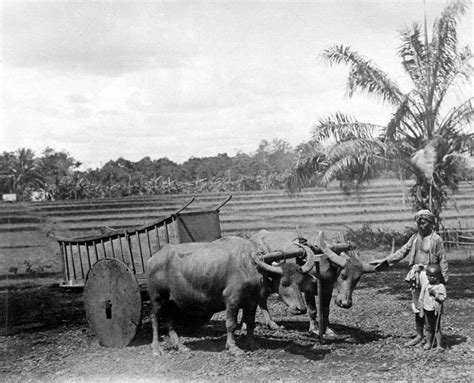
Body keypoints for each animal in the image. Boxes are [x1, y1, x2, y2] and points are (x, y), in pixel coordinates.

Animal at [146, 237, 312, 356]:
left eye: (300, 281)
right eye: (284, 282)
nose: (301, 309)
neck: (251, 267)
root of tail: (152, 259)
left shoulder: (251, 302)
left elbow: (250, 323)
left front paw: (252, 343)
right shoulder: (232, 300)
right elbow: (231, 324)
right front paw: (233, 347)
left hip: (171, 302)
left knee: (169, 321)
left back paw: (180, 346)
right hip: (157, 298)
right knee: (155, 319)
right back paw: (156, 348)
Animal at [248, 231, 378, 336]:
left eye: (357, 278)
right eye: (343, 275)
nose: (345, 303)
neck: (323, 261)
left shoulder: (327, 288)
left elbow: (325, 309)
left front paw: (327, 329)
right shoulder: (308, 289)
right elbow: (313, 310)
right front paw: (314, 329)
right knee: (261, 300)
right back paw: (271, 323)